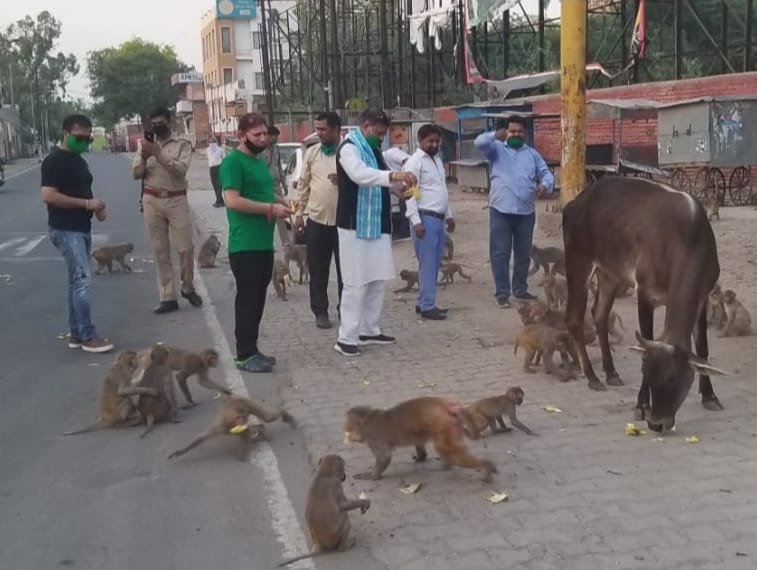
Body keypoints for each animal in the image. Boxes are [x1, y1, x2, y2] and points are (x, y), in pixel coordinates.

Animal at [168, 394, 296, 462]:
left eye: (245, 417)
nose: (245, 420)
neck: (231, 423)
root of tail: (234, 397)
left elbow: (247, 432)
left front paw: (242, 457)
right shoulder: (220, 426)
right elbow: (201, 437)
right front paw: (179, 452)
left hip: (248, 403)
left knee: (267, 417)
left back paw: (285, 415)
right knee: (260, 424)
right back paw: (261, 430)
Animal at [342, 394, 496, 480]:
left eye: (348, 425)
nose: (345, 430)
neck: (368, 419)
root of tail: (448, 405)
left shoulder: (372, 437)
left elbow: (384, 457)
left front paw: (371, 476)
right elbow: (418, 441)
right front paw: (421, 456)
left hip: (444, 425)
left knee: (446, 449)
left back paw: (485, 465)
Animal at [560, 178, 728, 430]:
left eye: (672, 378)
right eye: (646, 371)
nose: (656, 423)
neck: (685, 239)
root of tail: (574, 203)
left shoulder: (702, 295)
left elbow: (702, 347)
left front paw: (710, 396)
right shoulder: (645, 293)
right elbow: (646, 341)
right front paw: (641, 405)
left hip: (609, 273)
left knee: (599, 314)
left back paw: (611, 372)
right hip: (578, 261)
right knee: (574, 319)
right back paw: (593, 377)